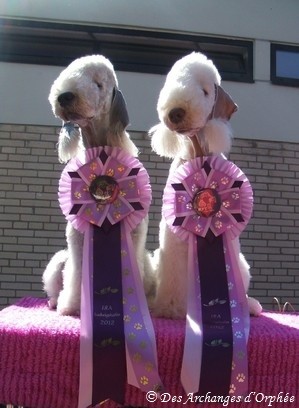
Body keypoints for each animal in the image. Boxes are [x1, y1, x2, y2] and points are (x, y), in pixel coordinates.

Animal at [43, 54, 154, 316]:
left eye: (99, 84)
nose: (64, 96)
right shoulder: (77, 236)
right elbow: (77, 274)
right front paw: (72, 306)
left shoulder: (134, 233)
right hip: (58, 262)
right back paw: (55, 302)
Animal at [150, 51, 262, 318]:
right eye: (172, 83)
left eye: (205, 91)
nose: (175, 112)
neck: (198, 155)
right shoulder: (173, 235)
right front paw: (170, 308)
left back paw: (251, 306)